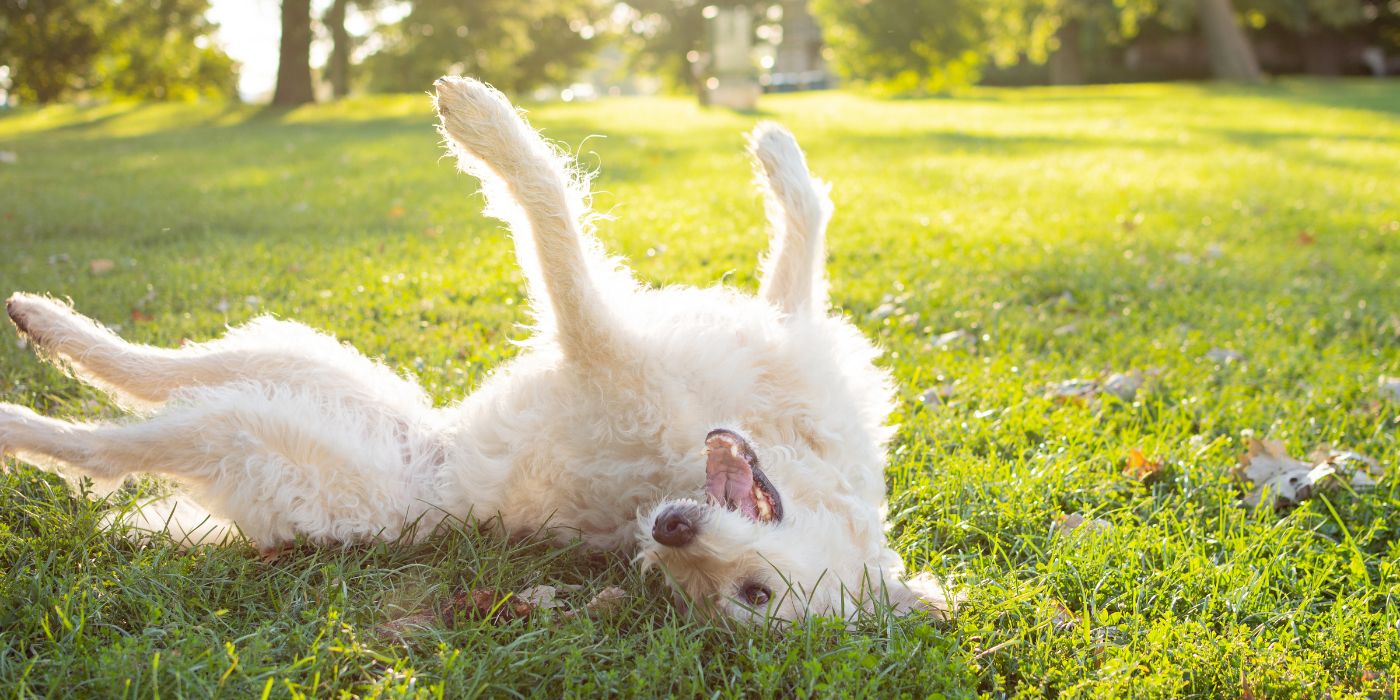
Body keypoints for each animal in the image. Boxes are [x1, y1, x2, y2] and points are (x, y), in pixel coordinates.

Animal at [0, 76, 952, 624]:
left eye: (749, 596)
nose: (672, 531)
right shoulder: (776, 336)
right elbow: (802, 240)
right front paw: (778, 149)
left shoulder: (599, 345)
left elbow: (553, 216)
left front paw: (484, 125)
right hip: (293, 359)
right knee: (153, 368)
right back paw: (43, 318)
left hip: (250, 429)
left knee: (106, 445)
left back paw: (21, 409)